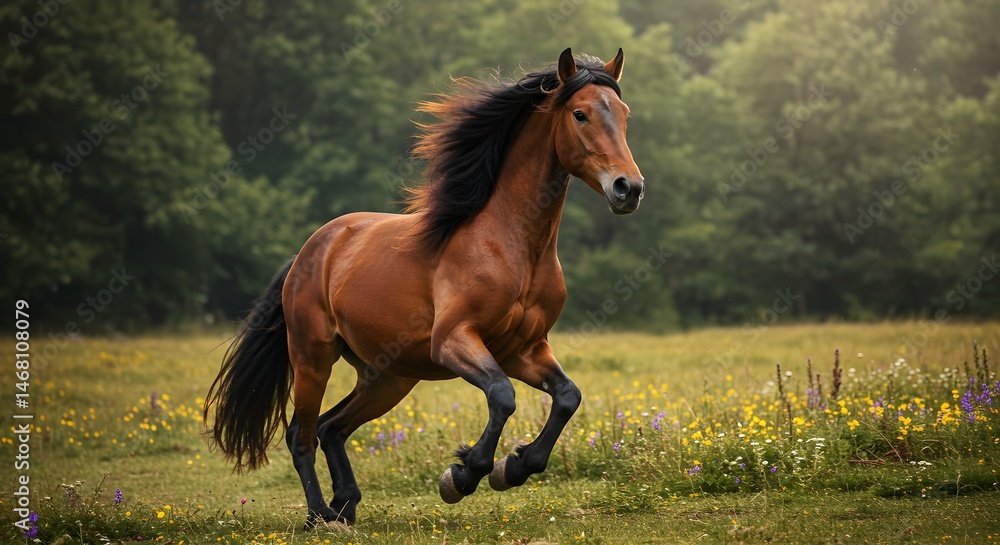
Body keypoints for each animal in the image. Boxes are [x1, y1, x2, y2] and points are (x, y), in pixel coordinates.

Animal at [203, 47, 644, 527]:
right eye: (580, 114)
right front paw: (464, 475)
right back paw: (320, 516)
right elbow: (502, 396)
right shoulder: (453, 340)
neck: (512, 244)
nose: (629, 188)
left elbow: (567, 396)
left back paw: (346, 504)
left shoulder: (524, 349)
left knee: (330, 427)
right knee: (301, 435)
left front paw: (515, 466)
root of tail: (312, 250)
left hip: (388, 377)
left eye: (624, 114)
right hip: (312, 357)